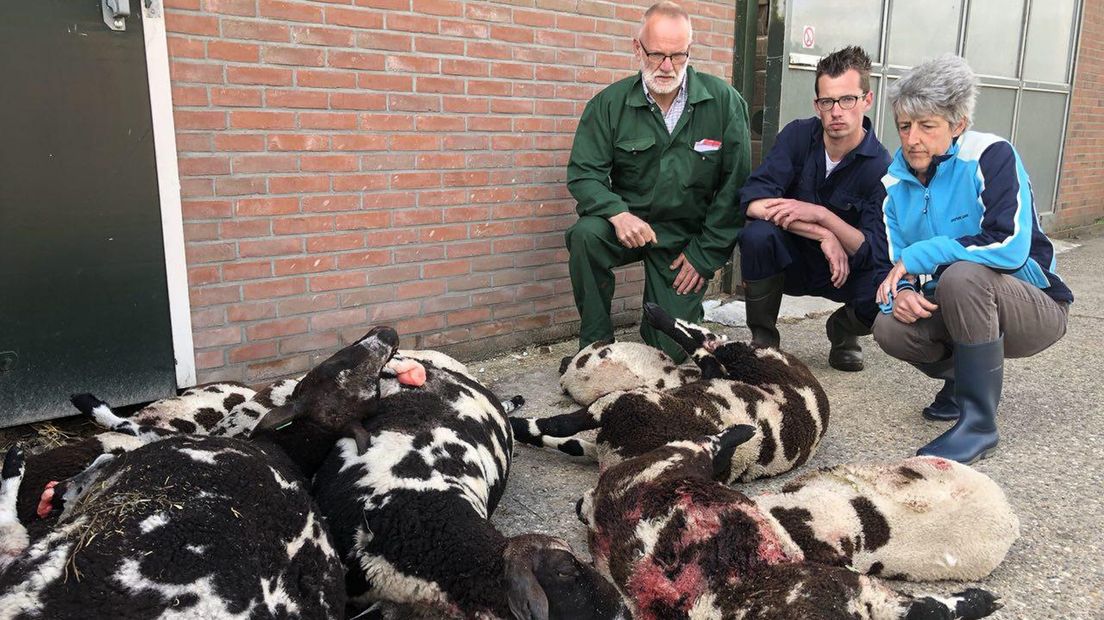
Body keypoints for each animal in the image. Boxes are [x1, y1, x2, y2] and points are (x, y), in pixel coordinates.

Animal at [0, 326, 404, 613]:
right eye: (341, 363)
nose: (388, 334)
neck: (285, 451)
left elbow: (129, 432)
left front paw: (88, 412)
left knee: (12, 535)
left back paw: (19, 464)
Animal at [507, 304, 830, 483]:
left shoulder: (616, 405)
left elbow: (557, 426)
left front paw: (515, 425)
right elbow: (567, 441)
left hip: (743, 359)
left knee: (711, 348)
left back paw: (661, 316)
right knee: (707, 347)